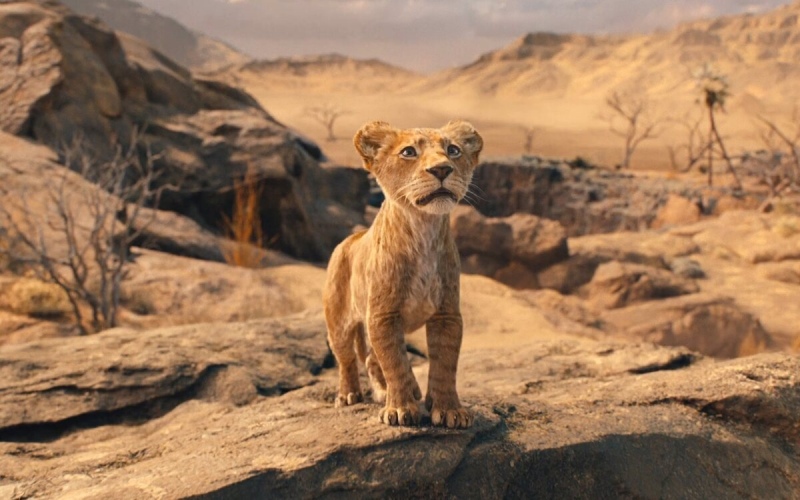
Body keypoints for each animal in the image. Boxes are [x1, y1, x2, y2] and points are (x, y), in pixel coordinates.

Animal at [323, 120, 483, 429]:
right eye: (409, 152)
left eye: (453, 150)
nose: (441, 169)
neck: (423, 230)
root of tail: (351, 238)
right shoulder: (383, 315)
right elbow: (395, 362)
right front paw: (399, 409)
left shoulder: (447, 314)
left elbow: (445, 363)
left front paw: (449, 410)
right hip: (339, 323)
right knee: (348, 359)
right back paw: (349, 394)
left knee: (372, 359)